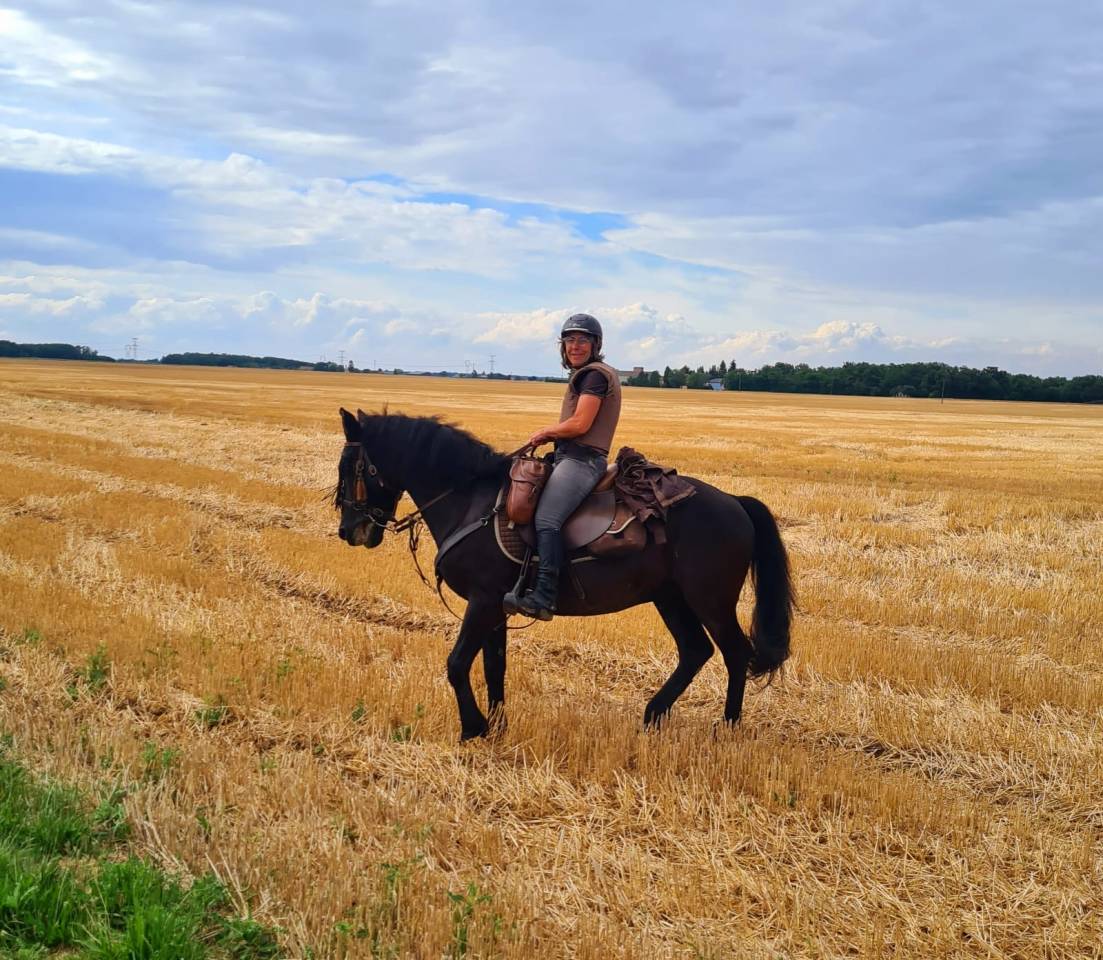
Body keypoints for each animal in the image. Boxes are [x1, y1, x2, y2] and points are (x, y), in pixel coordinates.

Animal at [334, 408, 794, 741]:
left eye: (349, 467)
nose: (348, 531)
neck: (469, 500)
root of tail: (734, 501)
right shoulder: (496, 607)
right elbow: (494, 666)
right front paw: (496, 728)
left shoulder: (483, 602)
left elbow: (458, 663)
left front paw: (473, 727)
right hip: (671, 598)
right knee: (696, 651)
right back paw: (652, 715)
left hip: (709, 600)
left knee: (736, 653)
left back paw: (727, 728)